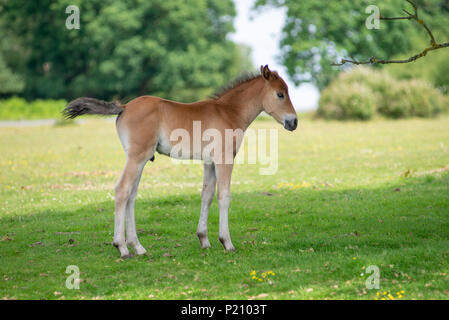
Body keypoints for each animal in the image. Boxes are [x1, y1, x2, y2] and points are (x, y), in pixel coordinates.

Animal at [61, 65, 296, 258]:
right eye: (280, 94)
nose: (293, 122)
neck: (228, 112)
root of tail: (124, 107)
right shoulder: (224, 159)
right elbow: (224, 196)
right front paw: (227, 243)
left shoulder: (209, 162)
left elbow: (207, 195)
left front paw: (204, 239)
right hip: (137, 157)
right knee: (122, 190)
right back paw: (122, 248)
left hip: (140, 159)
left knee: (131, 195)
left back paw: (138, 247)